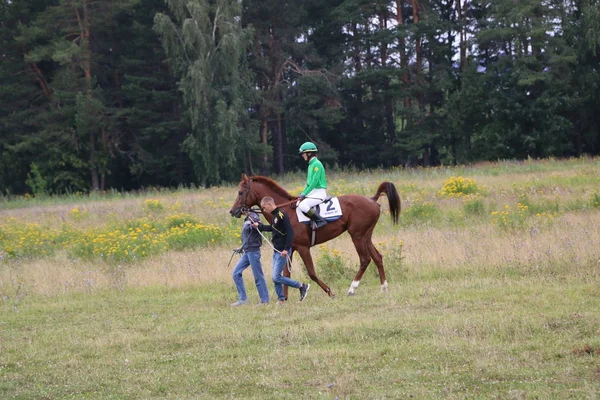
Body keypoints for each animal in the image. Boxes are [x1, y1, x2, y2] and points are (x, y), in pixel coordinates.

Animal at [230, 174, 404, 296]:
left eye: (240, 192)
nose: (233, 211)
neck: (283, 211)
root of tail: (372, 199)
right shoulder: (289, 249)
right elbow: (284, 274)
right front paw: (283, 299)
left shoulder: (303, 248)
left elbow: (311, 273)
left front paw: (329, 291)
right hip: (366, 236)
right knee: (377, 257)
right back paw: (384, 287)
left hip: (357, 236)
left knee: (365, 259)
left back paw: (352, 288)